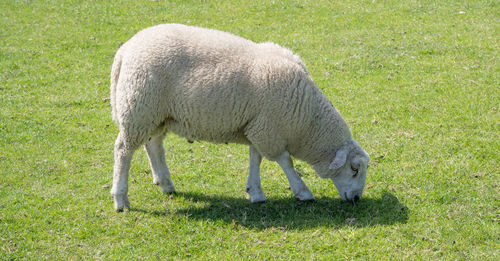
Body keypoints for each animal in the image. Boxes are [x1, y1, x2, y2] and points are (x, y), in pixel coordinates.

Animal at [109, 23, 370, 211]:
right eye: (354, 169)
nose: (357, 198)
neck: (306, 119)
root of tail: (125, 49)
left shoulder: (257, 126)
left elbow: (256, 158)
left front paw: (255, 192)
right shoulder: (269, 130)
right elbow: (285, 161)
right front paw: (302, 191)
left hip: (158, 114)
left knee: (153, 145)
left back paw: (166, 183)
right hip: (138, 109)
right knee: (123, 150)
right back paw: (121, 199)